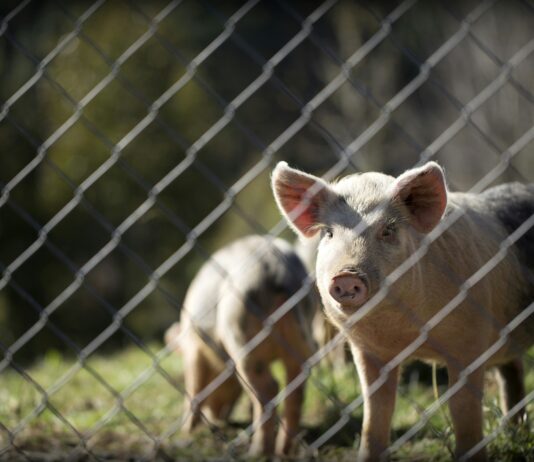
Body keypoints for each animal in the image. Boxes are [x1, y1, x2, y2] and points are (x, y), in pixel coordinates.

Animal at [165, 235, 318, 454]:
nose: (218, 418)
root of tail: (276, 270)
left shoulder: (194, 348)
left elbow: (194, 385)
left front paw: (186, 431)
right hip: (302, 334)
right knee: (295, 387)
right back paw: (283, 451)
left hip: (239, 330)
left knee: (269, 387)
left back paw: (257, 452)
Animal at [274, 161, 532, 460]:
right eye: (329, 233)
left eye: (388, 230)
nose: (346, 276)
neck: (405, 334)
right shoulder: (368, 350)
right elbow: (376, 412)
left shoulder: (470, 341)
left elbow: (462, 408)